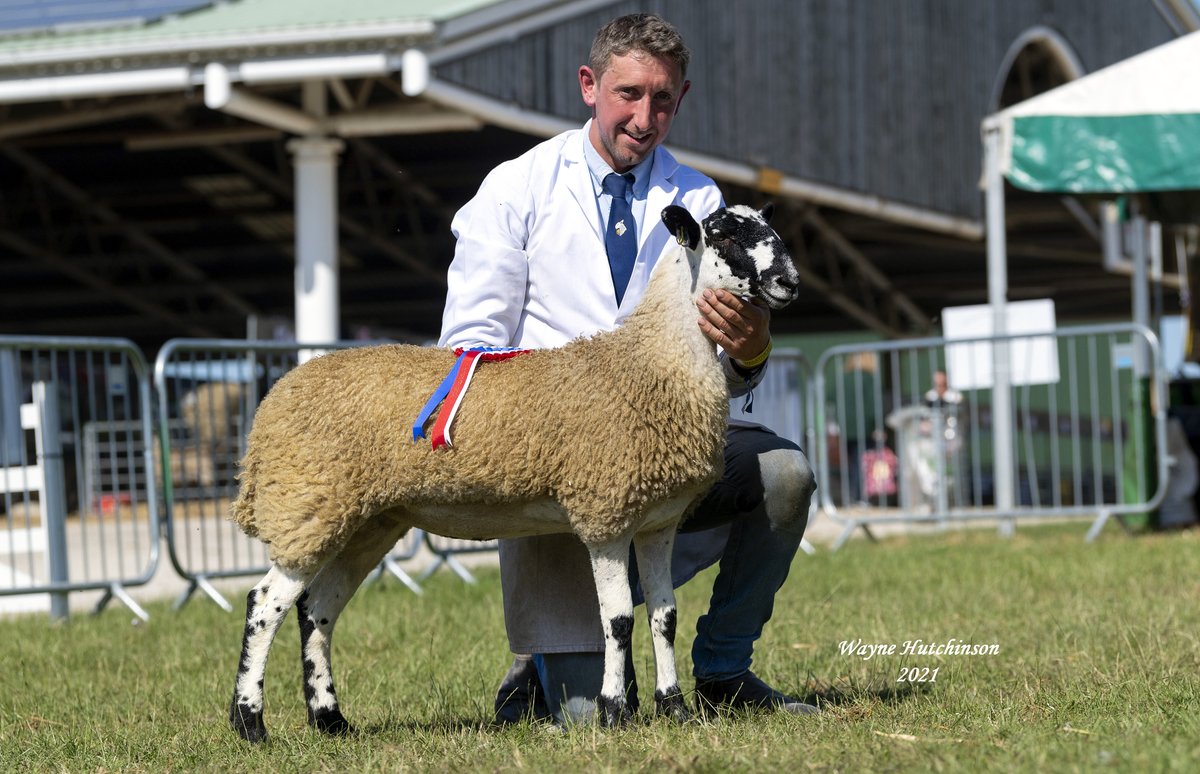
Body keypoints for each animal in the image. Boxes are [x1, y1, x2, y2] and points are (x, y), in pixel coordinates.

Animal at [227, 203, 800, 742]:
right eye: (724, 235)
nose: (789, 282)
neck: (653, 361)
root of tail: (274, 400)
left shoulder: (658, 520)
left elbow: (665, 615)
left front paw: (674, 709)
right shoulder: (606, 512)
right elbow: (617, 620)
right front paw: (614, 712)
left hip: (367, 519)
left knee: (316, 610)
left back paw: (330, 719)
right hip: (309, 500)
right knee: (265, 604)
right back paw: (250, 723)